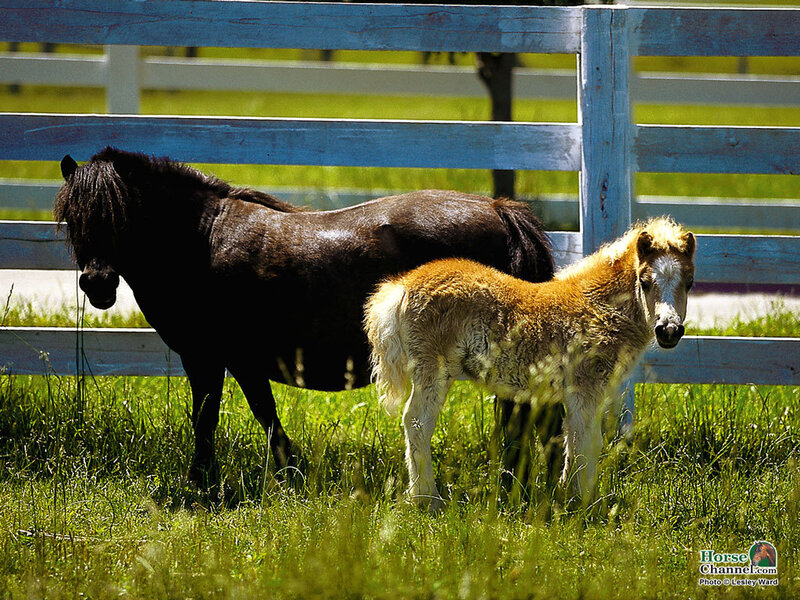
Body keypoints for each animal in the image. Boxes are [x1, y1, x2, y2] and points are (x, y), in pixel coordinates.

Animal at [54, 147, 554, 489]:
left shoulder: (211, 358)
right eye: (73, 219)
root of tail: (500, 210)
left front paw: (206, 483)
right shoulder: (237, 361)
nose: (96, 284)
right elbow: (260, 414)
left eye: (119, 217)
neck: (200, 241)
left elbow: (213, 416)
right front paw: (287, 471)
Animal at [365, 217, 695, 510]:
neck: (598, 306)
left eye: (690, 282)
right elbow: (587, 440)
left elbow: (572, 439)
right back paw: (427, 499)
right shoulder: (584, 388)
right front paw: (583, 503)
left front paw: (569, 495)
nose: (669, 330)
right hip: (432, 370)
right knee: (417, 422)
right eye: (645, 281)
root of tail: (402, 286)